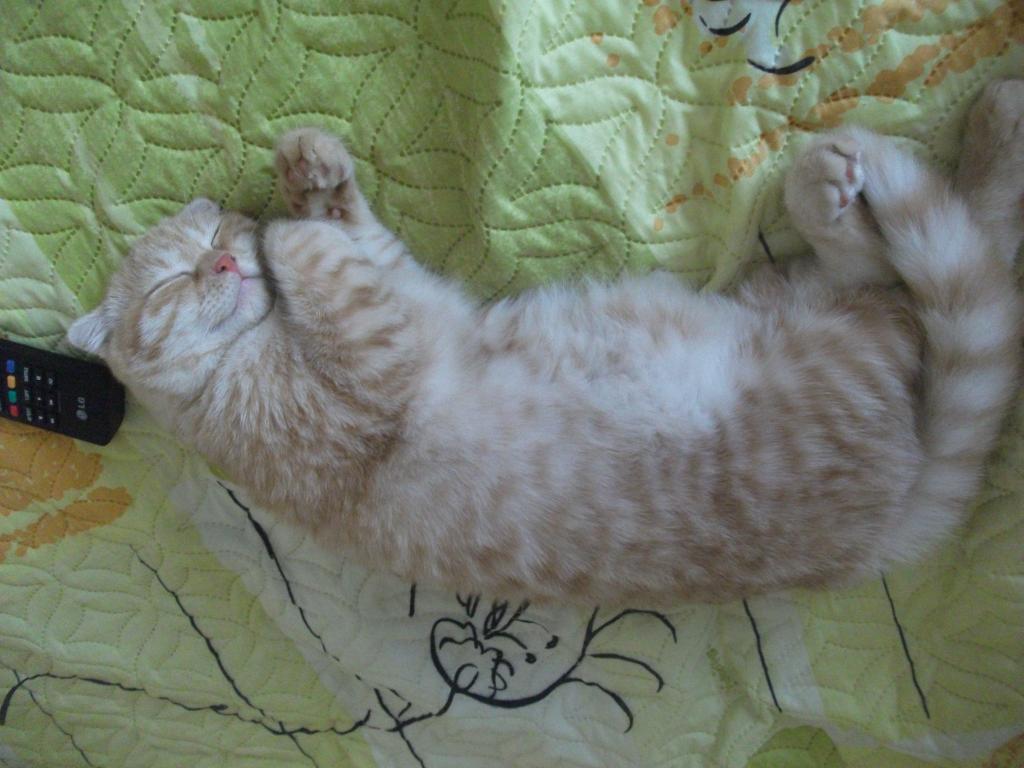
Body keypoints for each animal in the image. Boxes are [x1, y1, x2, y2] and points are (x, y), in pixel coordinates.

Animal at [67, 80, 1024, 603]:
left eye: (207, 239)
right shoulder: (377, 354)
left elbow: (343, 231)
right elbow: (313, 254)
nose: (227, 260)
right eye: (169, 282)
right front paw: (282, 225)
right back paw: (880, 166)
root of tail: (880, 535)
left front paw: (305, 173)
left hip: (778, 295)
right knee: (927, 274)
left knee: (913, 265)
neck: (248, 356)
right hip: (842, 335)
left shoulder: (389, 288)